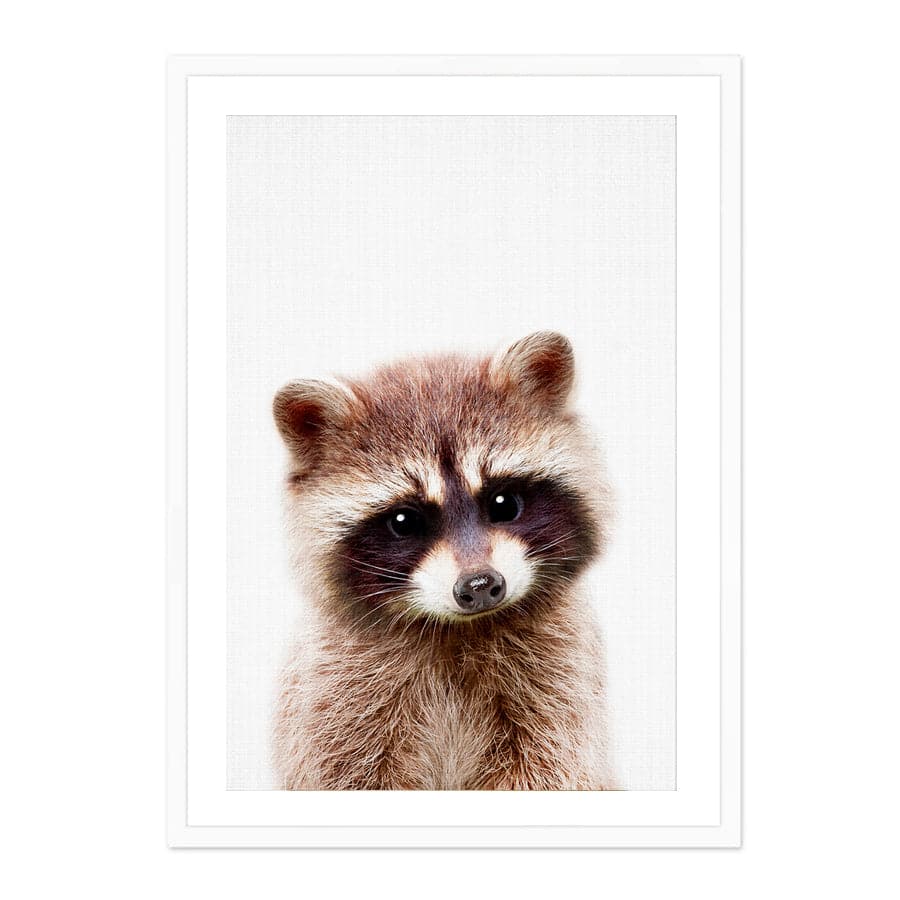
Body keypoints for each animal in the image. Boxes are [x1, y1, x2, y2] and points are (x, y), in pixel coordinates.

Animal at [271, 331, 617, 790]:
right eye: (404, 521)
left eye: (504, 503)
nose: (480, 585)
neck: (457, 630)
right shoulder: (334, 695)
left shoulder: (560, 681)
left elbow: (550, 765)